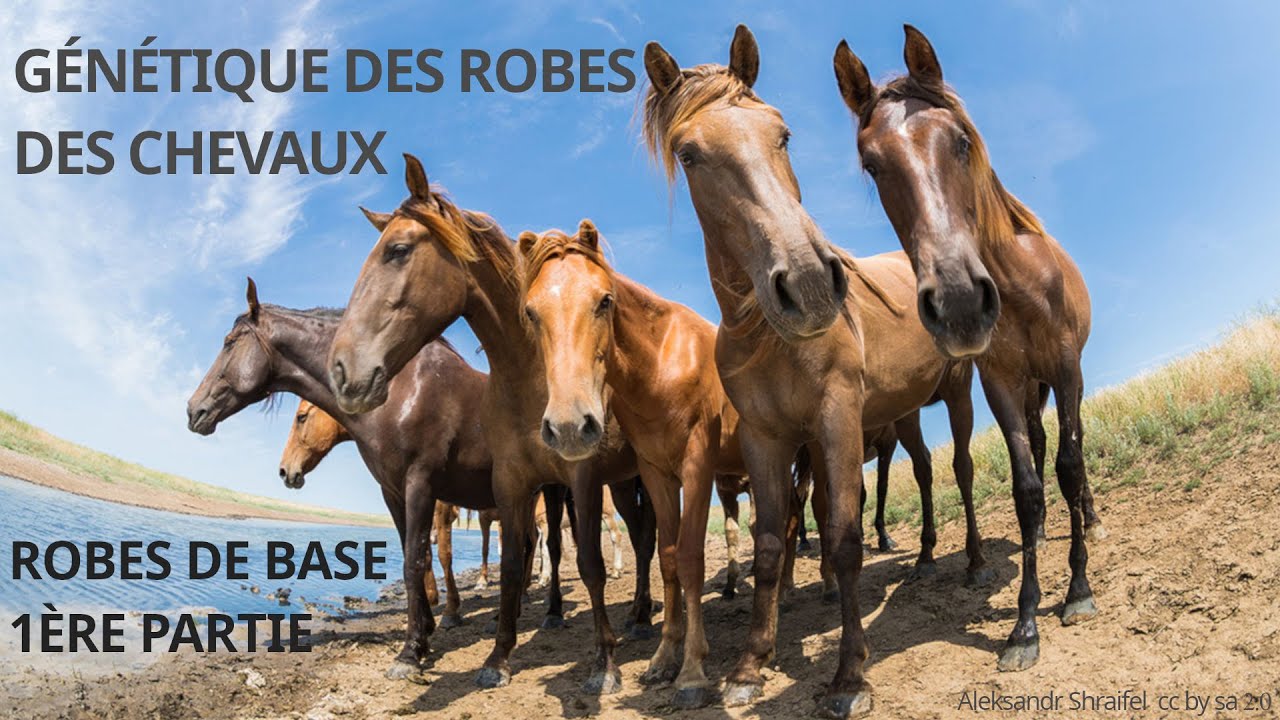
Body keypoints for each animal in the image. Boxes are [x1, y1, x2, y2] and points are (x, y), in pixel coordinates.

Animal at [324, 160, 656, 693]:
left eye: (398, 250)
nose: (341, 370)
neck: (531, 377)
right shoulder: (513, 483)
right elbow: (513, 564)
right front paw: (498, 657)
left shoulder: (582, 477)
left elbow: (590, 563)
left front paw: (604, 664)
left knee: (646, 539)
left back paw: (644, 618)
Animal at [641, 25, 982, 716]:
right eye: (689, 154)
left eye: (783, 133)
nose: (807, 283)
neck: (768, 340)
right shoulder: (765, 439)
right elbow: (772, 544)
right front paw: (750, 664)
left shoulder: (836, 419)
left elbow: (843, 535)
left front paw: (850, 675)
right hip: (905, 415)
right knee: (927, 470)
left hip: (957, 395)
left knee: (958, 468)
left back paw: (970, 561)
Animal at [833, 25, 1102, 673]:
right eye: (872, 164)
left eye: (959, 140)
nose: (957, 301)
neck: (1019, 282)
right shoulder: (1001, 383)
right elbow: (1027, 489)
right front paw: (1025, 625)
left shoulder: (1066, 368)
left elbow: (1070, 464)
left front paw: (1078, 590)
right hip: (1031, 391)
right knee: (1041, 447)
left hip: (1065, 381)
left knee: (1074, 455)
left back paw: (1089, 517)